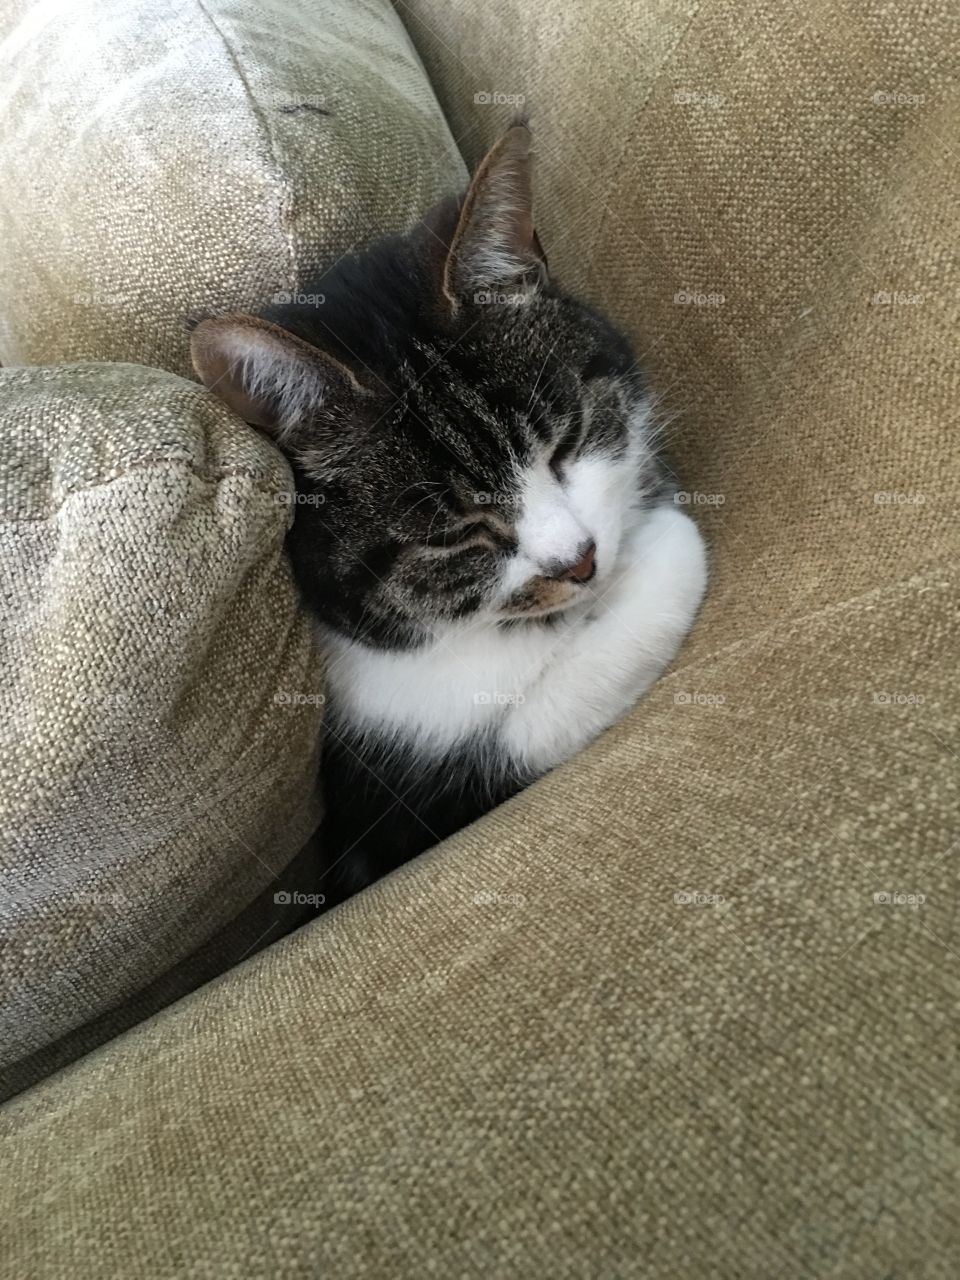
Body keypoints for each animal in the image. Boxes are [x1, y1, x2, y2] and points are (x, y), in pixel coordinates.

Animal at [192, 117, 711, 901]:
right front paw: (663, 544)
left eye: (566, 442)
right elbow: (531, 726)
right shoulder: (409, 809)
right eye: (455, 534)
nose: (581, 562)